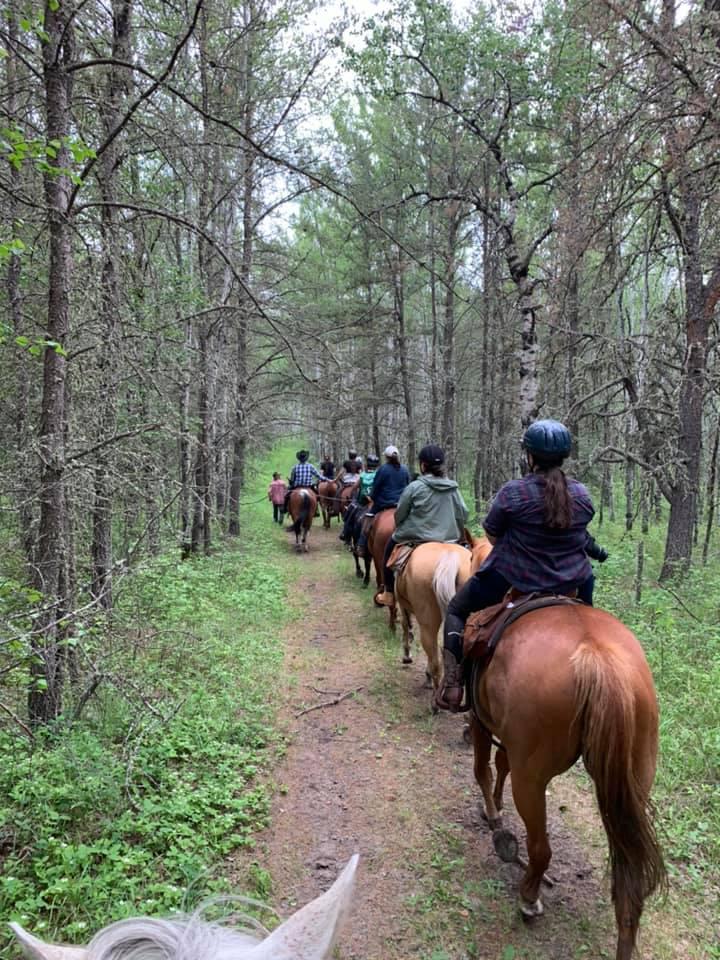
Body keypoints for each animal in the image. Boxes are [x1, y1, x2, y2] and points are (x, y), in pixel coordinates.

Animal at [390, 532, 492, 696]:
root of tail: (449, 557)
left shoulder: (402, 604)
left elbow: (406, 626)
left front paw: (407, 656)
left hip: (428, 623)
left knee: (435, 660)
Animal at [470, 604, 668, 956]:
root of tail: (597, 656)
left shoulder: (481, 720)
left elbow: (484, 767)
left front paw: (493, 812)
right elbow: (501, 763)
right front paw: (495, 804)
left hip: (531, 777)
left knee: (540, 848)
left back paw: (528, 899)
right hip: (636, 780)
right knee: (629, 878)